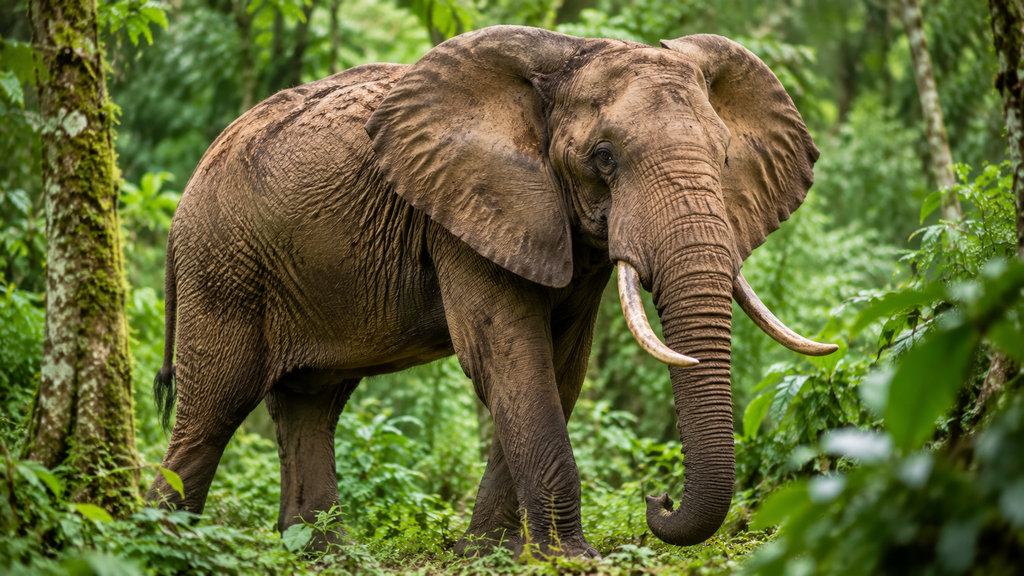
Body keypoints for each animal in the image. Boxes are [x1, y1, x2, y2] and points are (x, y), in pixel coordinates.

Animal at [147, 25, 836, 557]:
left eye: (724, 157)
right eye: (604, 158)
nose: (657, 499)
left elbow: (560, 368)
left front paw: (488, 554)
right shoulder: (462, 212)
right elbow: (510, 358)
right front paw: (570, 557)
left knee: (310, 404)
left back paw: (323, 554)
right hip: (223, 266)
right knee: (213, 410)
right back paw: (162, 545)